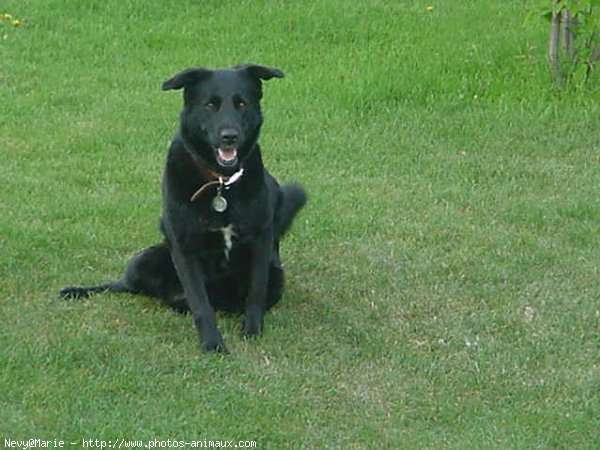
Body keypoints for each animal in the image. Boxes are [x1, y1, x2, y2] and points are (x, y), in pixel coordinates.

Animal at [61, 63, 308, 354]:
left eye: (241, 103)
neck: (220, 183)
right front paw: (212, 344)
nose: (230, 137)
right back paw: (80, 291)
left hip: (276, 277)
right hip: (144, 259)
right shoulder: (183, 246)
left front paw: (251, 330)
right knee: (125, 285)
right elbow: (201, 304)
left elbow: (255, 293)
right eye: (210, 105)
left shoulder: (261, 239)